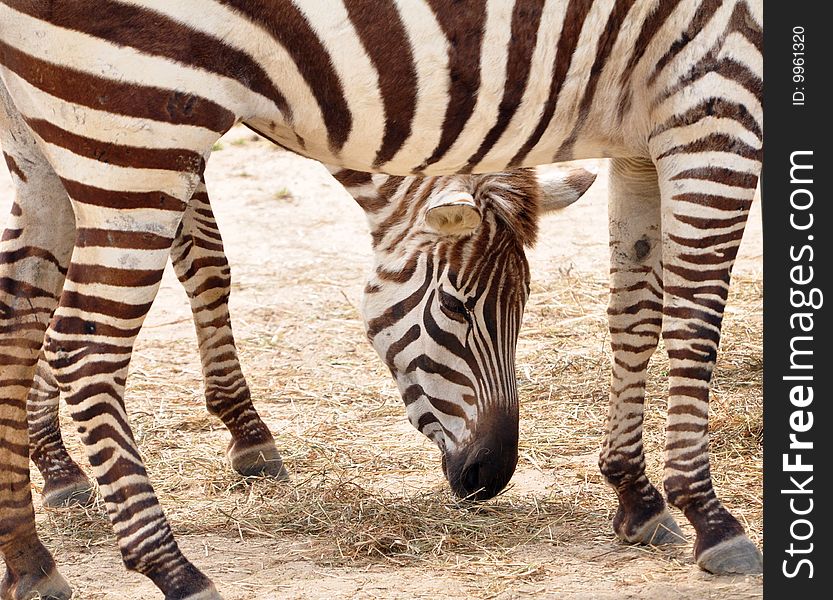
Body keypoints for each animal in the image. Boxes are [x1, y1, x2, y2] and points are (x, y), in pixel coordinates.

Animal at [22, 159, 596, 506]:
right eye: (455, 304)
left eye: (524, 303)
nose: (492, 476)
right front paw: (52, 455)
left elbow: (202, 263)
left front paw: (247, 432)